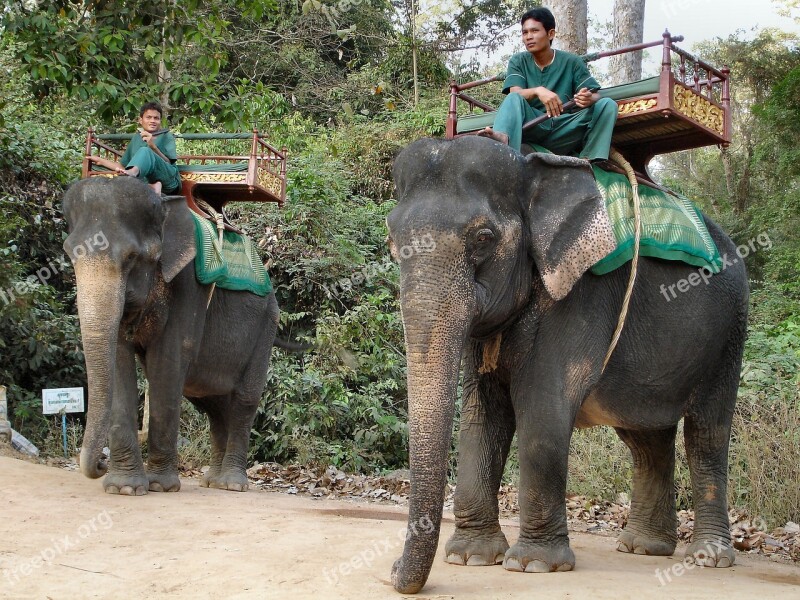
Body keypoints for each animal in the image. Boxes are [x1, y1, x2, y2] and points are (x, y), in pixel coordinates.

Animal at [63, 176, 282, 494]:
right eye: (70, 255)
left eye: (132, 257)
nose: (101, 462)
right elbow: (119, 360)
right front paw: (124, 488)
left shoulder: (189, 284)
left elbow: (168, 360)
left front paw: (159, 487)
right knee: (213, 404)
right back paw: (212, 482)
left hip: (266, 325)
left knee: (244, 400)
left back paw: (231, 484)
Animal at [384, 137, 748, 596]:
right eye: (392, 241)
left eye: (484, 237)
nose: (393, 569)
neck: (529, 168)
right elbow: (482, 413)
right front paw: (471, 557)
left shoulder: (583, 293)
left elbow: (543, 405)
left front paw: (533, 565)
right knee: (647, 440)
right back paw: (644, 547)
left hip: (729, 333)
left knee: (707, 433)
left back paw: (709, 557)